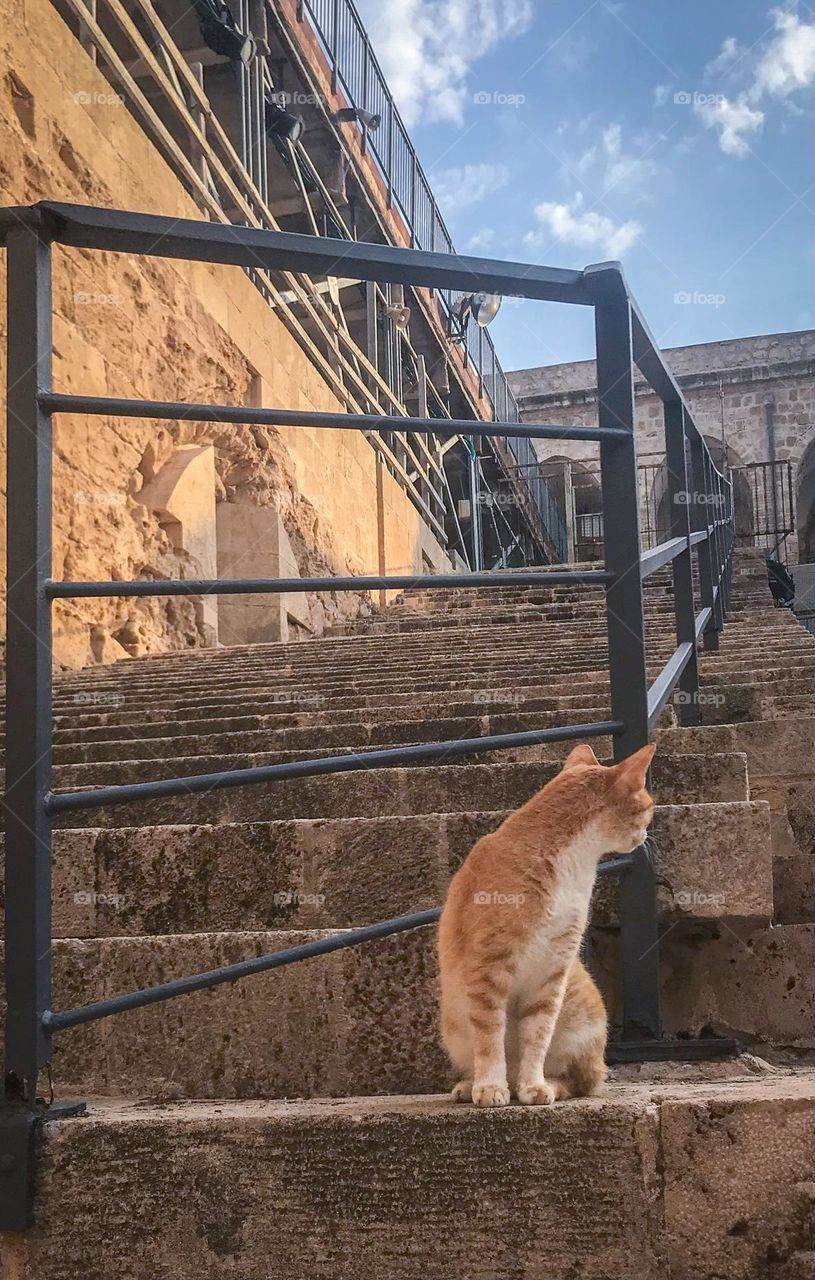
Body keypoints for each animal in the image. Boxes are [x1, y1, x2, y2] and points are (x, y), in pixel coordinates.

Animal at [437, 747, 655, 1105]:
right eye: (649, 808)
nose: (646, 836)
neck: (571, 866)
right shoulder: (489, 966)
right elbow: (490, 1035)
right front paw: (490, 1086)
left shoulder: (554, 969)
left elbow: (538, 1035)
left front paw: (533, 1085)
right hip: (454, 1030)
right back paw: (473, 1085)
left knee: (580, 1081)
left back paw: (545, 1084)